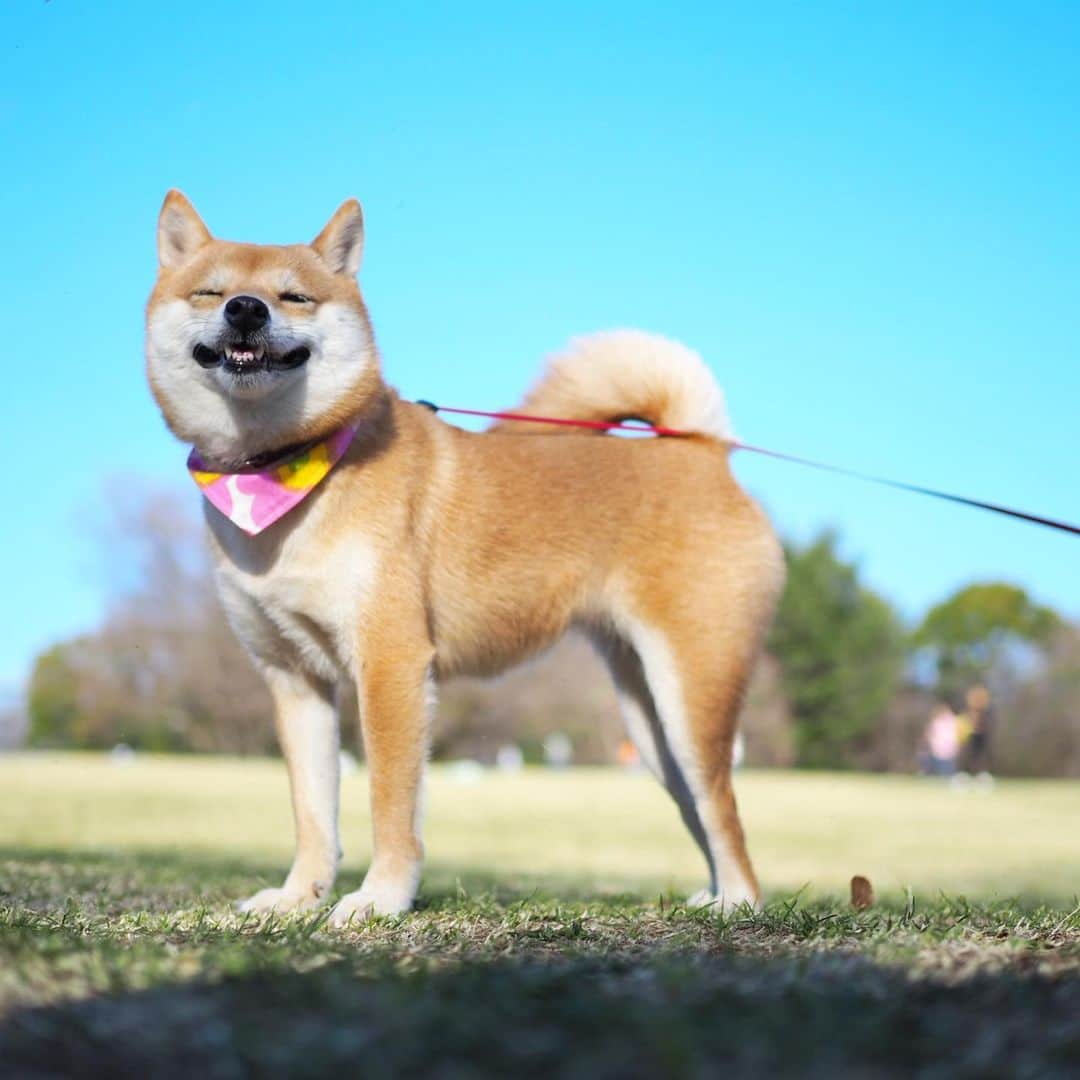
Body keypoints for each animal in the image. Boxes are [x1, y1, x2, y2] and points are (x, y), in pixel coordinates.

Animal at [145, 190, 786, 924]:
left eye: (294, 296)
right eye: (211, 291)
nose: (246, 310)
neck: (277, 471)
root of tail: (705, 453)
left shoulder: (390, 664)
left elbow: (390, 802)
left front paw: (380, 898)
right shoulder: (293, 678)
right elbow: (313, 814)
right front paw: (296, 897)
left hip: (692, 697)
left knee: (724, 811)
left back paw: (738, 904)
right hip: (647, 722)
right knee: (698, 810)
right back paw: (709, 899)